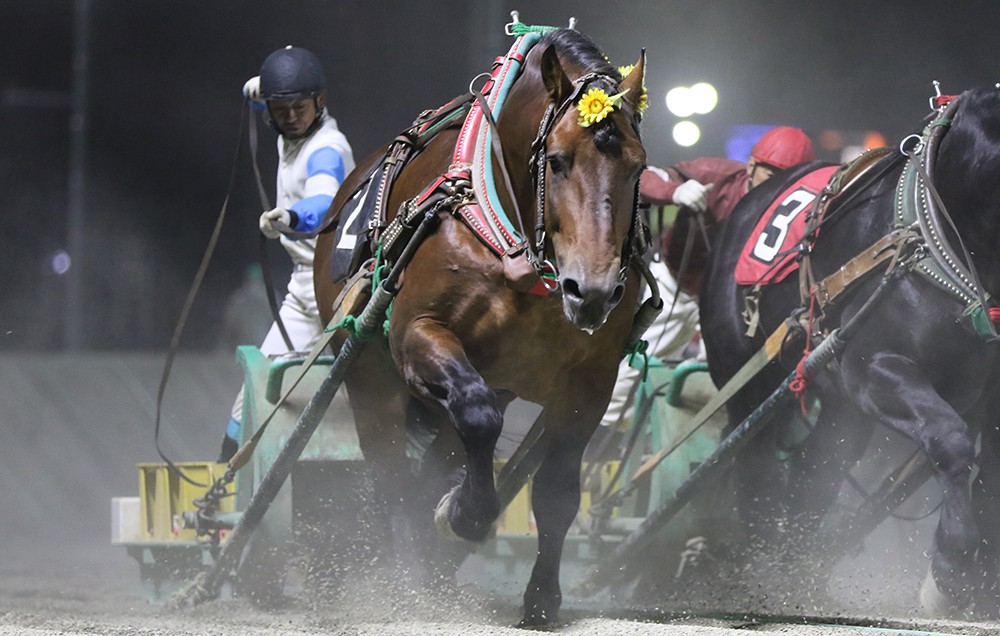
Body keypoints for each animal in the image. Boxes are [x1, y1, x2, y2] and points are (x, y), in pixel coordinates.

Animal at [310, 27, 648, 624]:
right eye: (558, 160)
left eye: (638, 166)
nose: (593, 290)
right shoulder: (417, 335)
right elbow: (476, 414)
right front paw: (465, 514)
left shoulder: (592, 376)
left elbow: (557, 489)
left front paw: (541, 598)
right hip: (370, 379)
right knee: (392, 474)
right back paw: (411, 582)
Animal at [700, 85, 1000, 616]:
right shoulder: (872, 367)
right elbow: (950, 438)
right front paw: (950, 565)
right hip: (749, 384)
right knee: (754, 465)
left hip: (839, 408)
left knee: (811, 469)